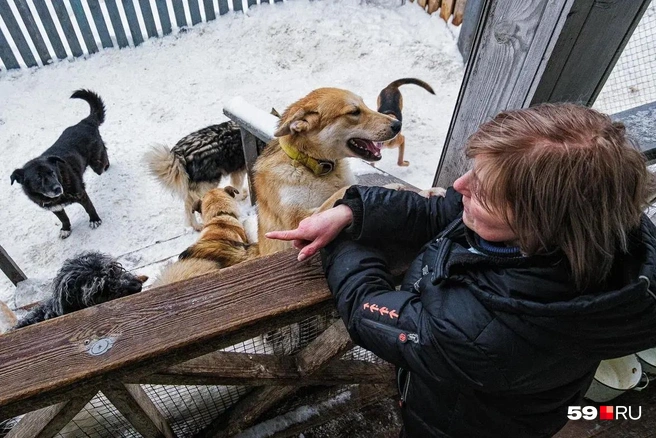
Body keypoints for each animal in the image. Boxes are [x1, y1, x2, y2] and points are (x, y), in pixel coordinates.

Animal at [10, 90, 109, 240]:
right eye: (38, 178)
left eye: (52, 172)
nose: (57, 188)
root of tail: (85, 122)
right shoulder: (54, 207)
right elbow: (64, 218)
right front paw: (66, 229)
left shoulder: (81, 194)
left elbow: (89, 208)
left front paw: (94, 220)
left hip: (96, 163)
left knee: (104, 156)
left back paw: (107, 165)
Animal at [254, 87, 402, 255]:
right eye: (354, 112)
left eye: (364, 105)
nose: (398, 124)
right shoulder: (299, 221)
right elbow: (344, 190)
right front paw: (388, 188)